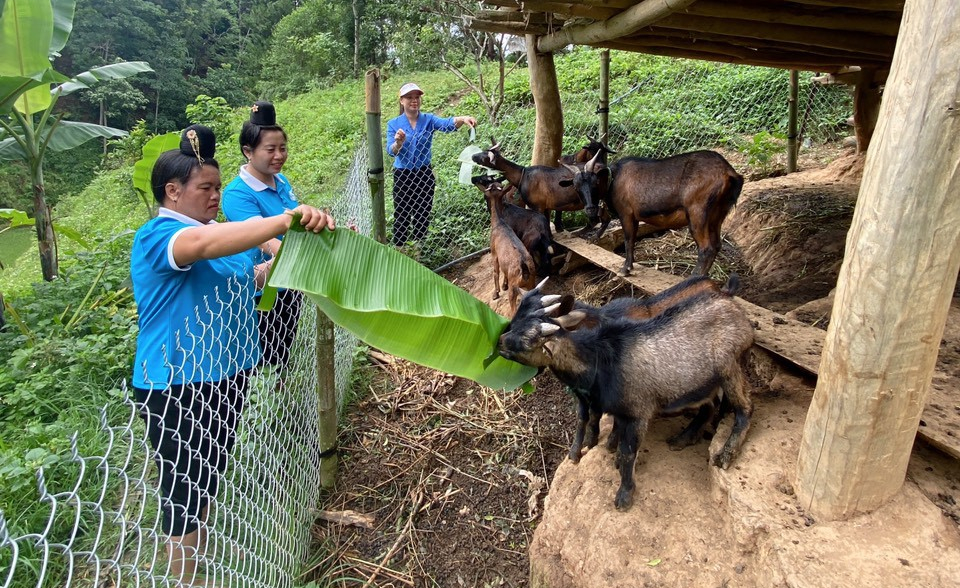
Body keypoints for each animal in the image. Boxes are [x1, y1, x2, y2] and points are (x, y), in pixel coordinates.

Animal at [484, 184, 536, 314]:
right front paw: (504, 285)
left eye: (490, 189)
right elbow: (503, 271)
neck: (499, 223)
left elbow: (496, 272)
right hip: (532, 284)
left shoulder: (494, 253)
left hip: (514, 288)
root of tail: (525, 270)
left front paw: (496, 293)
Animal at [498, 280, 752, 510]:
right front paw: (593, 453)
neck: (599, 360)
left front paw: (624, 494)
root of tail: (733, 305)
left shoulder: (638, 413)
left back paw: (725, 455)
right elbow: (598, 428)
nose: (499, 341)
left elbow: (629, 452)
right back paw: (683, 439)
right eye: (518, 318)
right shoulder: (609, 406)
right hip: (703, 382)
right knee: (709, 406)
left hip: (730, 367)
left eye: (527, 340)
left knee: (745, 408)